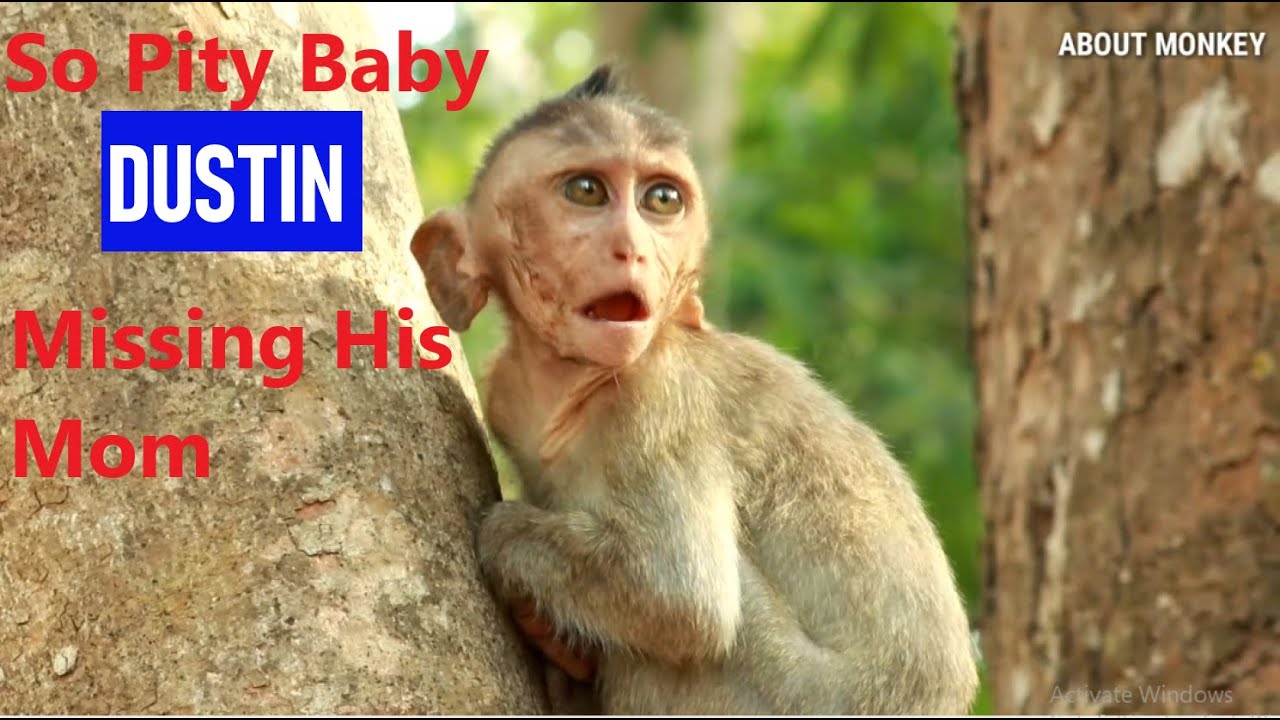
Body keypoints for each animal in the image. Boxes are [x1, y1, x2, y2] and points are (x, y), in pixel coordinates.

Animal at [411, 65, 979, 715]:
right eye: (586, 191)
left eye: (661, 200)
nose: (634, 249)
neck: (569, 384)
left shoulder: (657, 401)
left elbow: (684, 600)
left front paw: (505, 542)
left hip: (787, 693)